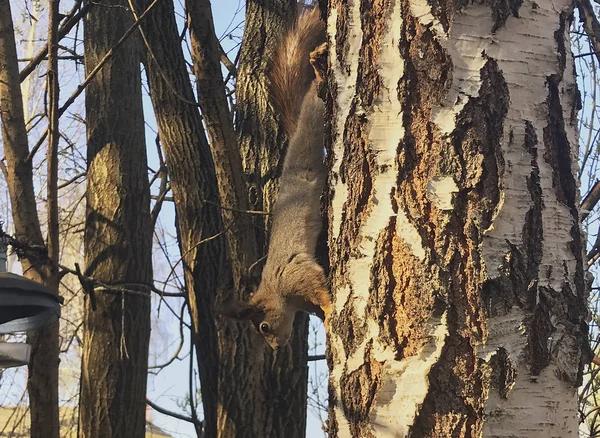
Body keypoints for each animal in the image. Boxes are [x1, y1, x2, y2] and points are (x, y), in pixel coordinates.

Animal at [220, 6, 328, 350]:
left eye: (264, 326)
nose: (276, 347)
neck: (276, 291)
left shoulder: (293, 275)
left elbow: (319, 286)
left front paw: (331, 307)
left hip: (312, 124)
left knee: (314, 100)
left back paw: (318, 74)